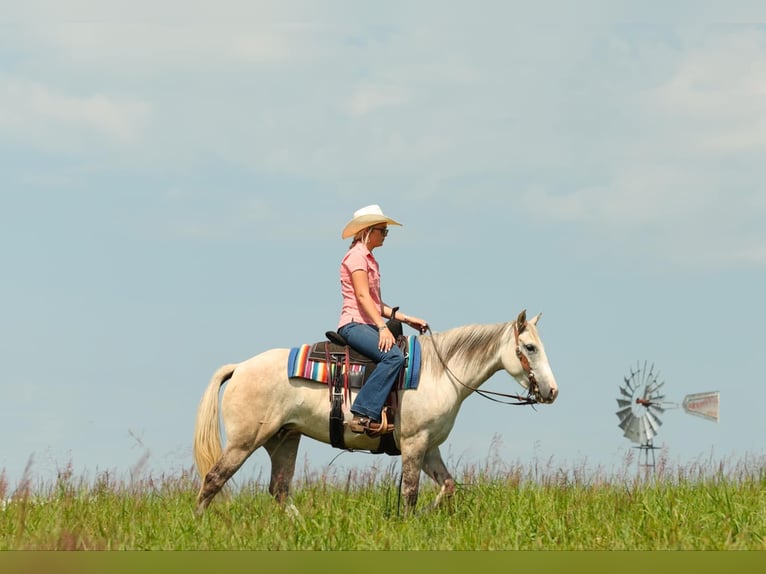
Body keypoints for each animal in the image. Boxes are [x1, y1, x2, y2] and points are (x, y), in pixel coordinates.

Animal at [193, 309, 558, 513]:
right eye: (529, 347)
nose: (552, 391)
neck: (440, 372)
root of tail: (240, 368)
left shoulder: (429, 448)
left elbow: (448, 486)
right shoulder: (414, 443)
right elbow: (410, 492)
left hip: (283, 439)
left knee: (280, 490)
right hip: (245, 440)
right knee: (214, 479)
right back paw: (199, 525)